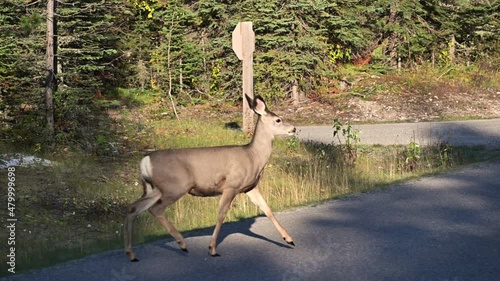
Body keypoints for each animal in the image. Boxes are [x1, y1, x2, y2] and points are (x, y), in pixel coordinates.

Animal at [126, 94, 296, 260]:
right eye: (278, 119)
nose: (294, 128)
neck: (253, 157)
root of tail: (146, 160)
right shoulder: (231, 185)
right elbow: (221, 215)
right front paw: (212, 249)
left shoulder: (250, 187)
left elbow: (267, 209)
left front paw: (289, 239)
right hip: (174, 186)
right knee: (155, 209)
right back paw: (182, 243)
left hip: (153, 189)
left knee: (133, 208)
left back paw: (132, 254)